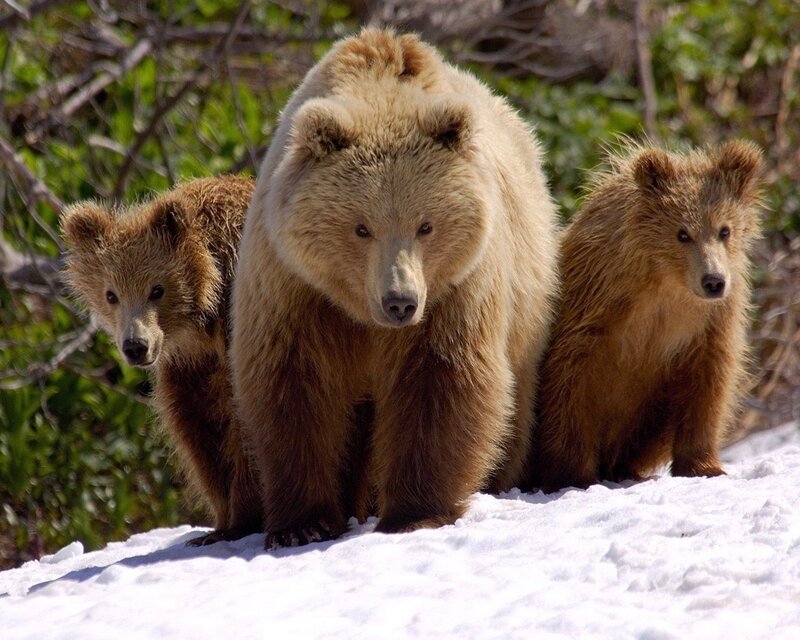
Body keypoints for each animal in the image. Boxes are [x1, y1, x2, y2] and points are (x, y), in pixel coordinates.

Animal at [60, 176, 263, 545]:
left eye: (157, 289)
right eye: (111, 294)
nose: (135, 346)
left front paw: (242, 520)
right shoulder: (189, 367)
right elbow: (197, 429)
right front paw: (219, 523)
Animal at [231, 27, 559, 548]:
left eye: (425, 225)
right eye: (361, 228)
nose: (400, 301)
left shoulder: (455, 290)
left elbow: (440, 380)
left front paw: (415, 512)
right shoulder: (295, 288)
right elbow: (294, 386)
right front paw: (302, 524)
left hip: (526, 299)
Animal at [528, 141, 763, 493]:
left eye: (725, 230)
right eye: (682, 234)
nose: (713, 281)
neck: (666, 284)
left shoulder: (709, 323)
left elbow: (708, 383)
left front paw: (704, 466)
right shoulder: (596, 307)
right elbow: (570, 381)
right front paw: (573, 475)